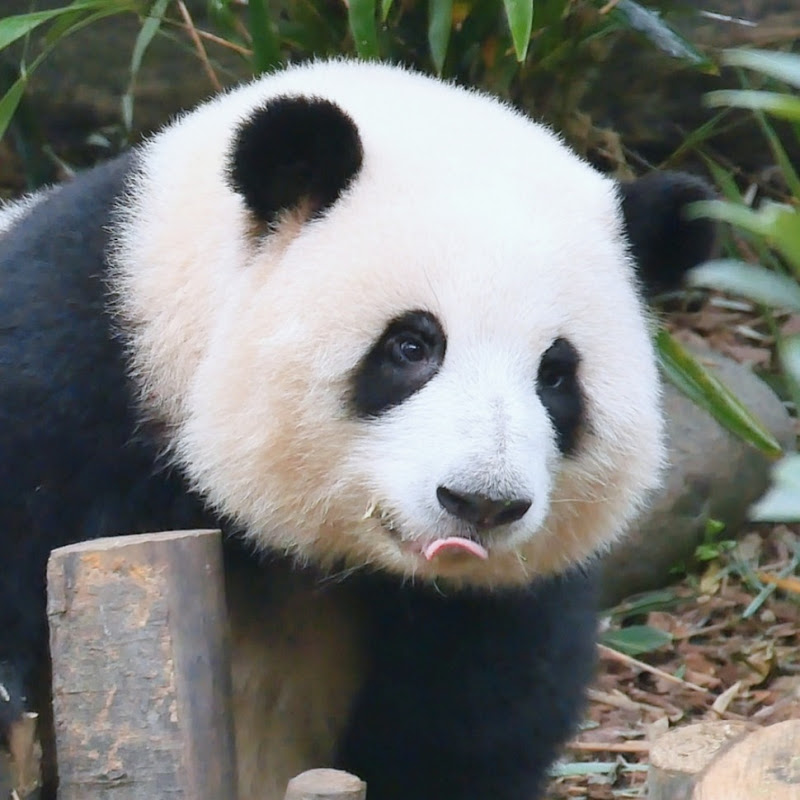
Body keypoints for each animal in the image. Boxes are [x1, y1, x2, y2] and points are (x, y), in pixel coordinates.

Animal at [0, 59, 715, 800]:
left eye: (555, 376)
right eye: (411, 346)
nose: (481, 502)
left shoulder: (495, 603)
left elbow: (471, 720)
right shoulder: (71, 379)